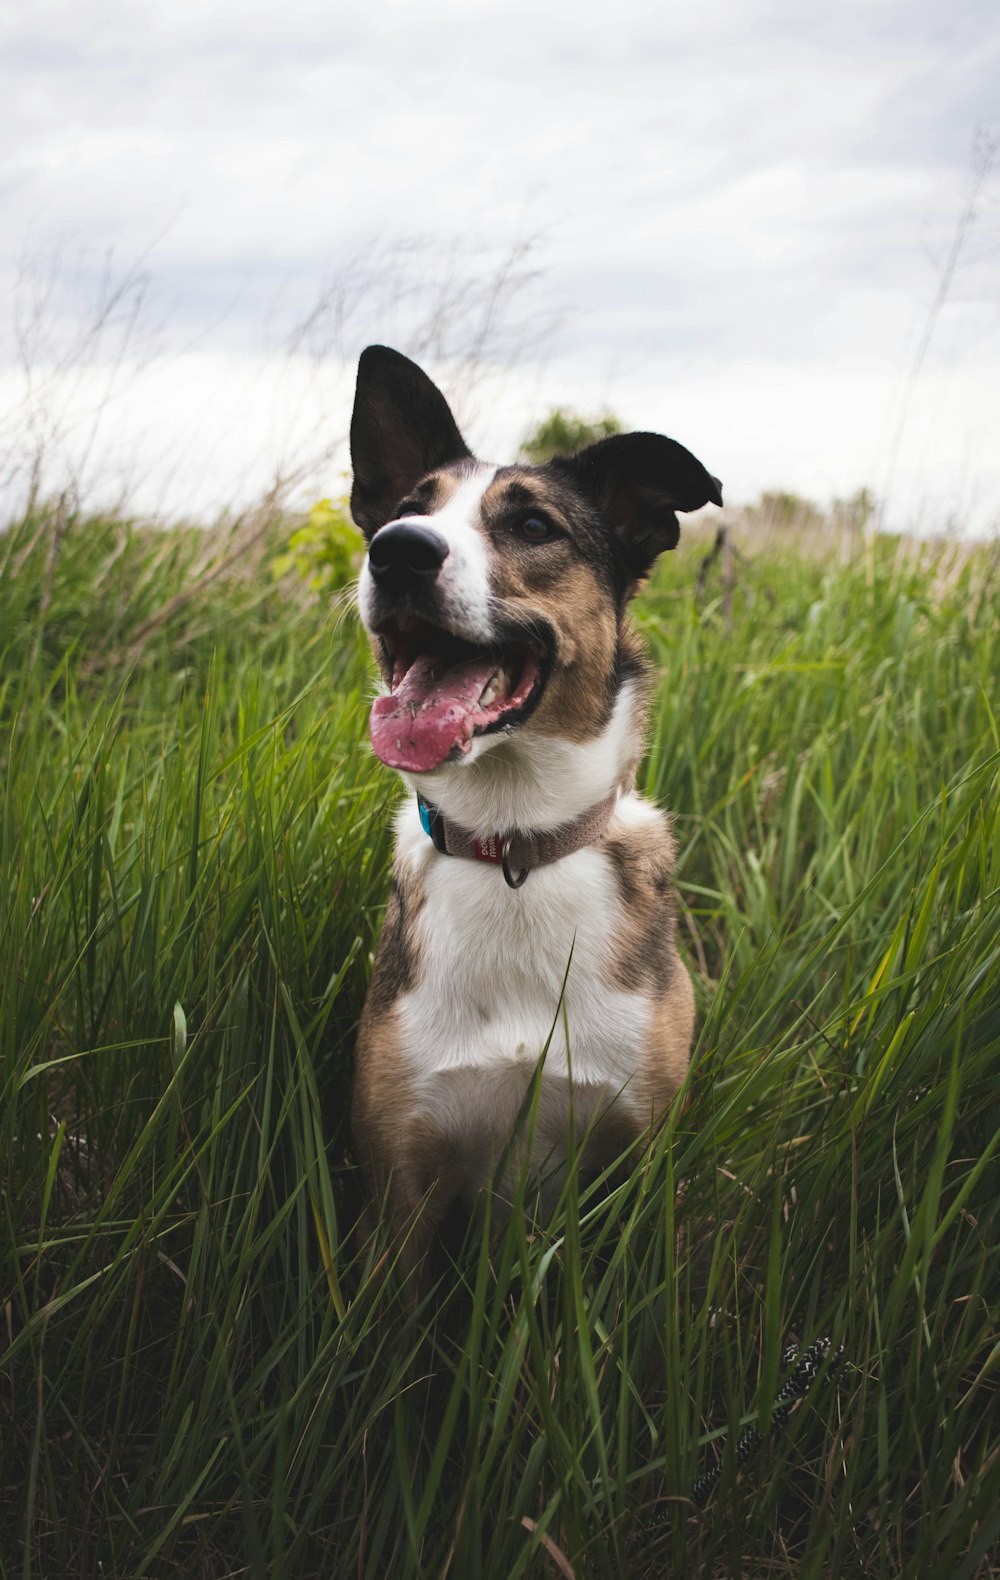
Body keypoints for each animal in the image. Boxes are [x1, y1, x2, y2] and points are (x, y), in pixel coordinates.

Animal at [349, 342, 717, 1270]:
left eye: (534, 527)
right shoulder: (401, 1184)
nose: (397, 552)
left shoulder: (639, 1160)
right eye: (404, 511)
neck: (514, 842)